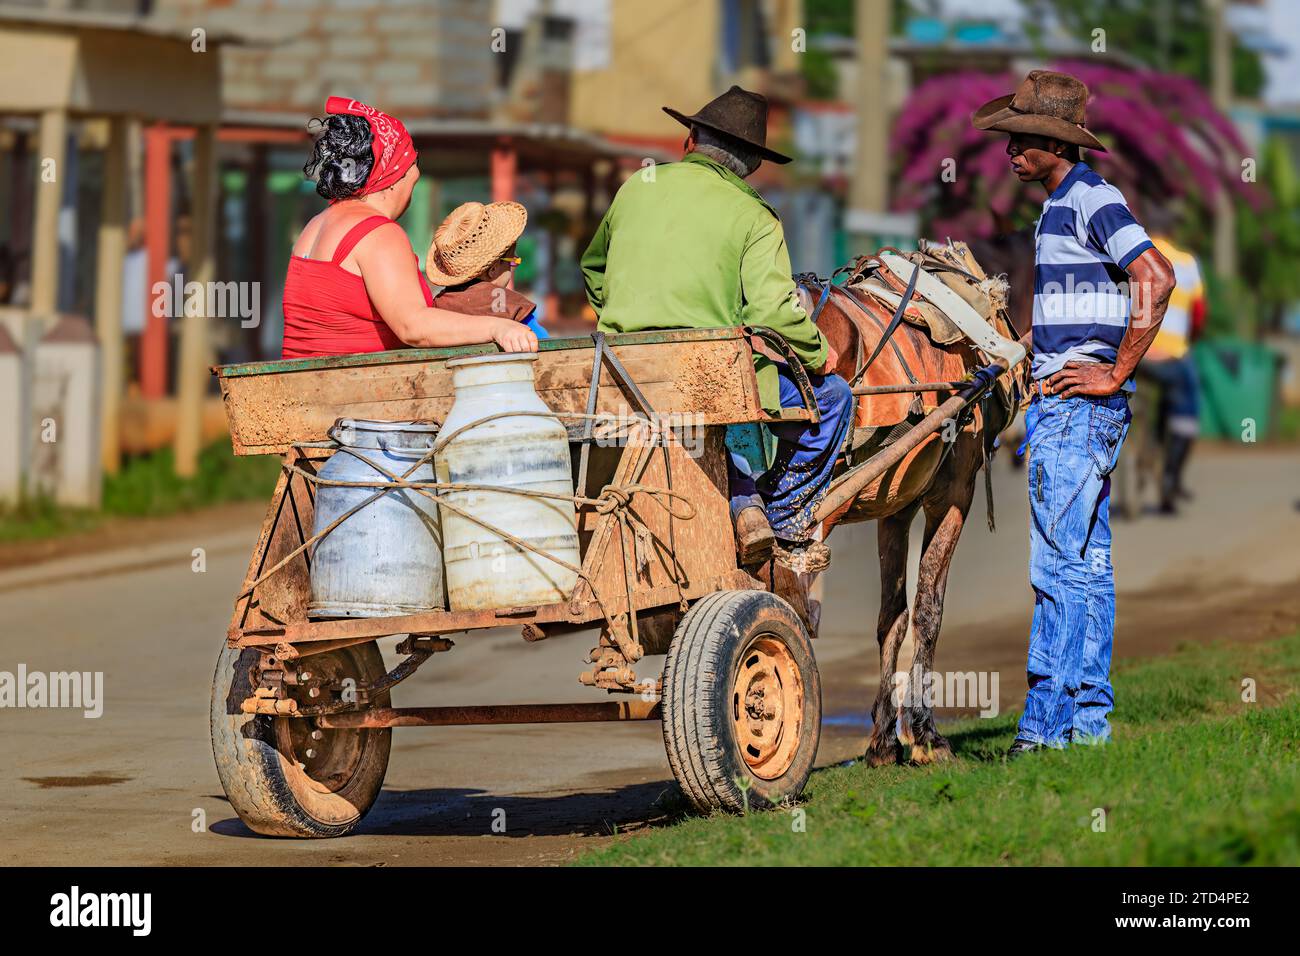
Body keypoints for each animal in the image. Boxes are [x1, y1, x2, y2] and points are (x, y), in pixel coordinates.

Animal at [790, 243, 1024, 764]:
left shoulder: (895, 507)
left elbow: (891, 617)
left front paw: (883, 737)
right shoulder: (953, 495)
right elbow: (927, 610)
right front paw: (924, 733)